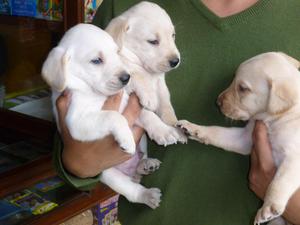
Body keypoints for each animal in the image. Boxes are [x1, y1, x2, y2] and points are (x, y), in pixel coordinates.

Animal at [177, 52, 298, 225]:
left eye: (242, 88)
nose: (217, 102)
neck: (276, 119)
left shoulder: (294, 157)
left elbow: (279, 182)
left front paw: (269, 207)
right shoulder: (245, 139)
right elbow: (216, 131)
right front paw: (193, 128)